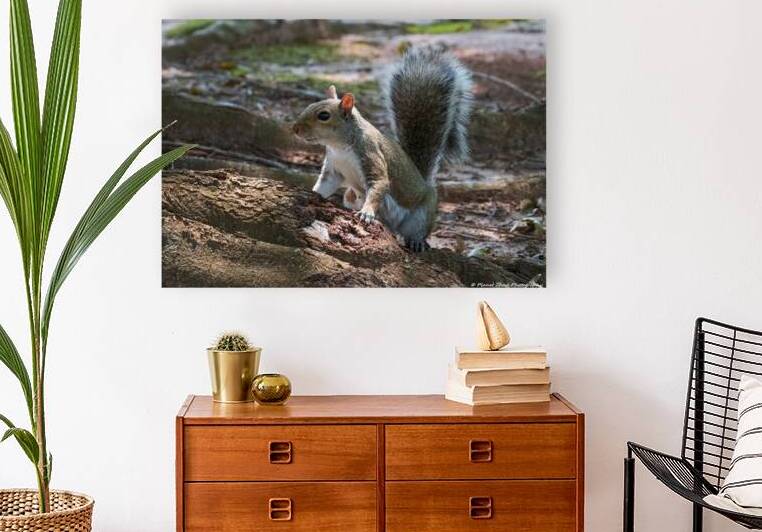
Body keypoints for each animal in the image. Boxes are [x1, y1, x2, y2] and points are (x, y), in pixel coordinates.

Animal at [292, 48, 473, 252]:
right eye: (309, 106)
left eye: (324, 115)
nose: (295, 128)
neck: (339, 147)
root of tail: (423, 181)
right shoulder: (333, 167)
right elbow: (325, 184)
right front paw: (313, 192)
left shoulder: (370, 154)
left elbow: (379, 183)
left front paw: (367, 212)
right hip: (351, 197)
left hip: (422, 214)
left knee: (415, 230)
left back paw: (417, 240)